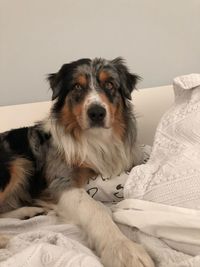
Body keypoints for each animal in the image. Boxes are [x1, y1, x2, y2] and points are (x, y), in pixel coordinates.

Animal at [0, 58, 155, 267]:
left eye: (109, 84)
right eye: (77, 86)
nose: (96, 113)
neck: (95, 140)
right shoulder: (61, 181)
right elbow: (95, 208)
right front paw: (122, 248)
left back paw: (28, 212)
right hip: (16, 163)